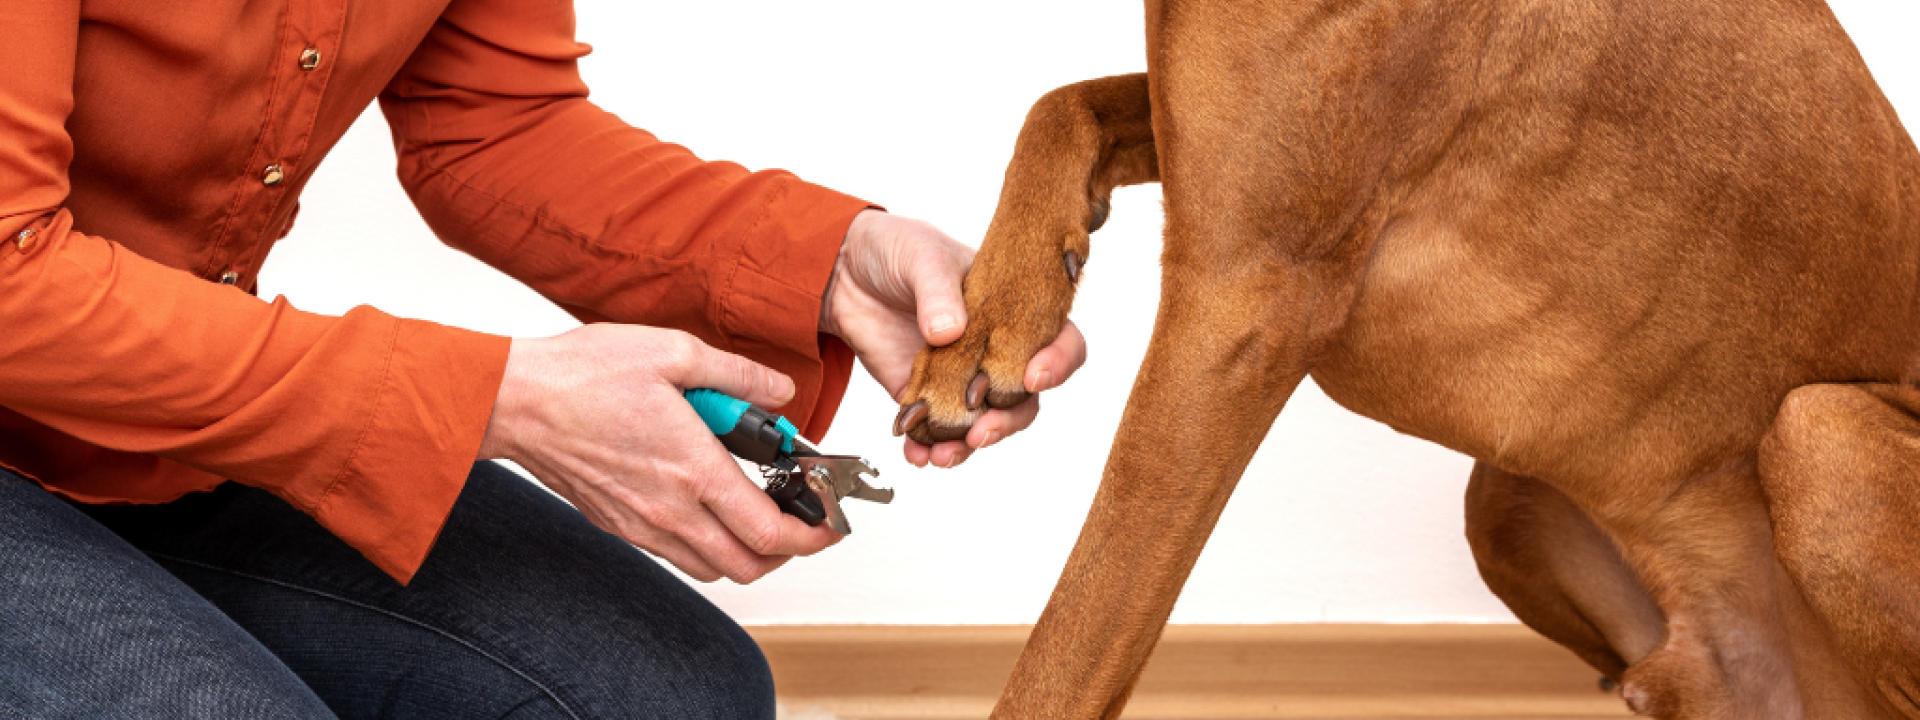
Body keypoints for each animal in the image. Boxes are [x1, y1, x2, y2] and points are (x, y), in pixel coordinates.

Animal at [890, 1, 1920, 720]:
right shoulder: (1201, 148)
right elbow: (1060, 103)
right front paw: (988, 322)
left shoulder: (1246, 295)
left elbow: (1074, 636)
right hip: (1508, 498)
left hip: (1820, 435)